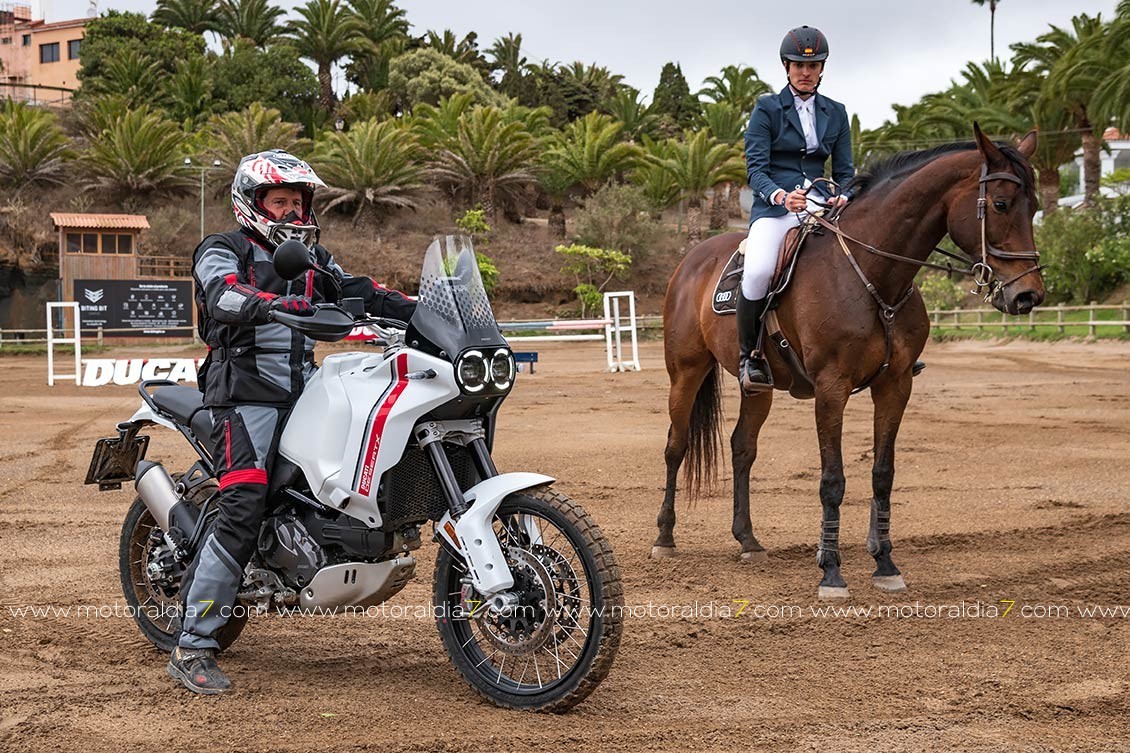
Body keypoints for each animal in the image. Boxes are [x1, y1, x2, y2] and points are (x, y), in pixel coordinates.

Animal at [659, 124, 1044, 596]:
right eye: (1001, 204)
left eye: (1036, 206)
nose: (1028, 295)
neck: (871, 272)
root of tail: (694, 258)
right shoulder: (832, 388)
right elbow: (833, 479)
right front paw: (831, 571)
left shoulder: (896, 385)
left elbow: (882, 473)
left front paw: (885, 563)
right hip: (686, 371)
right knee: (676, 445)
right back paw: (665, 537)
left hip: (758, 387)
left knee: (742, 448)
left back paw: (748, 540)